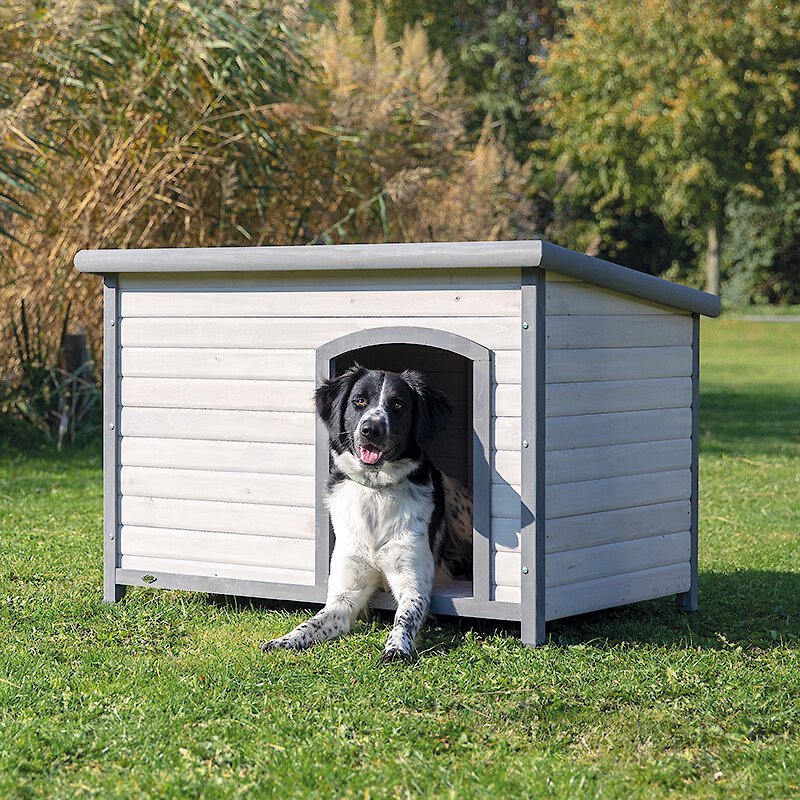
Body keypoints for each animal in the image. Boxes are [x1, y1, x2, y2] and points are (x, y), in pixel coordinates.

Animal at [262, 366, 472, 660]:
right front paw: (285, 639)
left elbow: (404, 617)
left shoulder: (413, 584)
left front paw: (397, 647)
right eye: (359, 401)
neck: (376, 492)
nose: (371, 429)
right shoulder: (346, 592)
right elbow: (312, 622)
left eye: (398, 405)